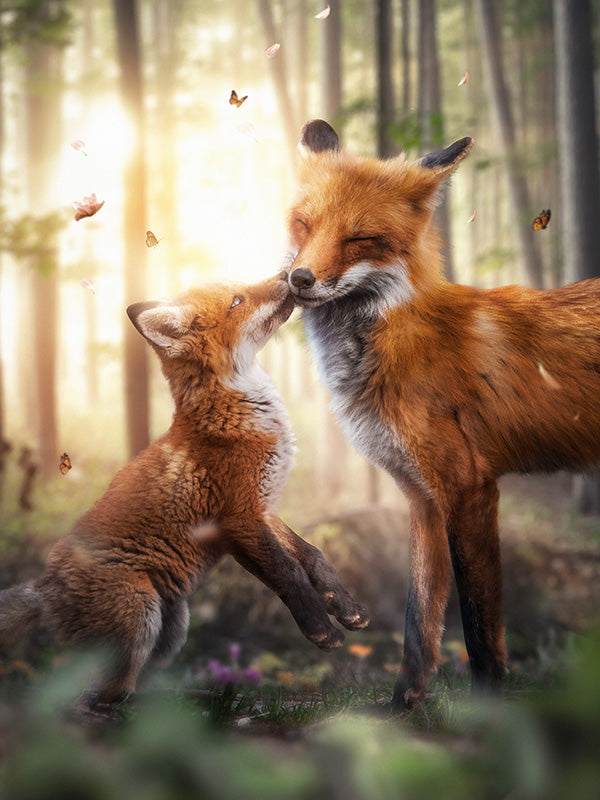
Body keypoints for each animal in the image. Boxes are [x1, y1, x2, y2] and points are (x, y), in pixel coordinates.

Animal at [0, 272, 368, 707]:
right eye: (237, 300)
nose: (287, 274)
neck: (237, 415)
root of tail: (44, 586)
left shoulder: (261, 507)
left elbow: (313, 555)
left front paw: (344, 606)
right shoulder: (237, 520)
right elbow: (288, 571)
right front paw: (321, 631)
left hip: (173, 625)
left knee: (132, 687)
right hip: (141, 614)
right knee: (100, 696)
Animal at [285, 119, 600, 711]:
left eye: (359, 238)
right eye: (303, 225)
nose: (299, 279)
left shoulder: (468, 488)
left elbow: (478, 629)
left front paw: (489, 713)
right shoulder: (421, 497)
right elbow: (420, 619)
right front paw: (402, 707)